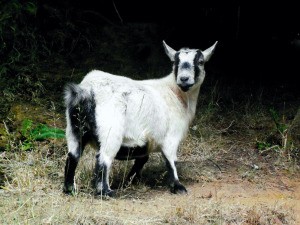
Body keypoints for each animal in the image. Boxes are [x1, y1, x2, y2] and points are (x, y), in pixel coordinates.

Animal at [63, 40, 218, 197]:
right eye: (175, 62)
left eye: (200, 62)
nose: (184, 79)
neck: (175, 93)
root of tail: (86, 91)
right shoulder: (171, 136)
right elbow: (171, 161)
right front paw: (177, 186)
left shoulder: (147, 139)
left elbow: (143, 158)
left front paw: (131, 180)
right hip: (110, 130)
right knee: (103, 159)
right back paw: (106, 192)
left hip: (74, 129)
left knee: (73, 156)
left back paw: (70, 189)